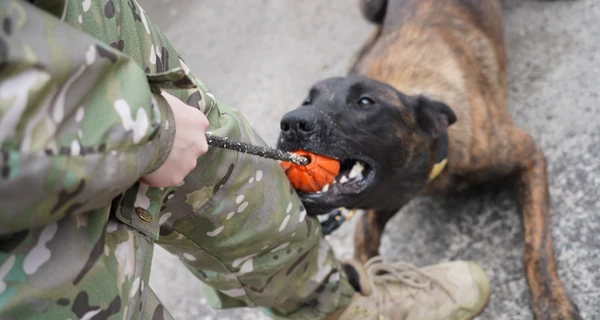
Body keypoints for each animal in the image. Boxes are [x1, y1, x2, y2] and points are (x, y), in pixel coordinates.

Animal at [276, 0, 580, 318]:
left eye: (365, 102)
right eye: (307, 101)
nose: (292, 123)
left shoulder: (529, 156)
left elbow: (536, 246)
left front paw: (551, 301)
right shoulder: (384, 198)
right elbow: (364, 244)